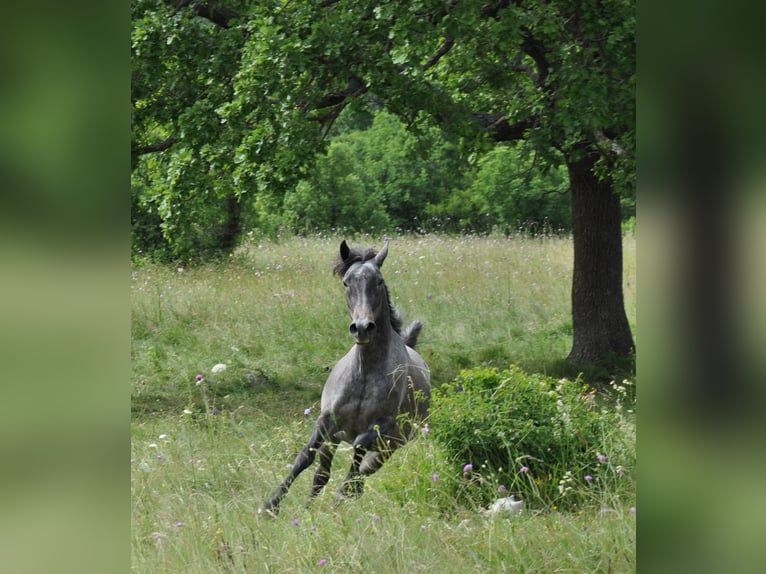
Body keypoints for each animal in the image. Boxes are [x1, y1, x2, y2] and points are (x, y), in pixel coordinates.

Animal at [262, 241, 432, 516]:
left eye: (379, 281)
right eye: (346, 282)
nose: (362, 328)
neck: (364, 373)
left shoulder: (381, 426)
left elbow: (359, 446)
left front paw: (343, 493)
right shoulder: (326, 421)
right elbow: (305, 457)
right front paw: (271, 505)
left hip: (390, 447)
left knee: (362, 471)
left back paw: (343, 495)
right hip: (334, 441)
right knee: (322, 475)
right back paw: (310, 508)